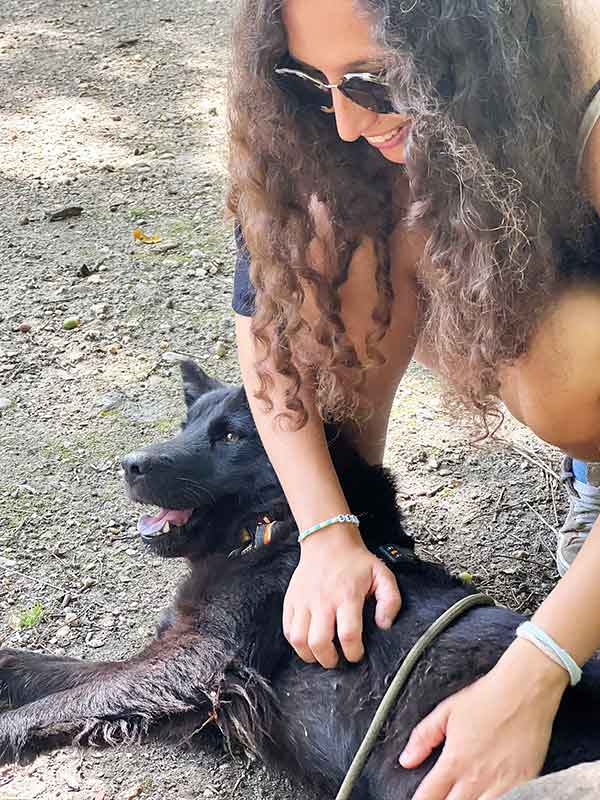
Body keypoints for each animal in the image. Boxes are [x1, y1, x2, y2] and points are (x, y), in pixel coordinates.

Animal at [1, 364, 600, 800]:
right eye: (185, 427)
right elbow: (73, 673)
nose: (130, 465)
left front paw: (7, 730)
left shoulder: (200, 661)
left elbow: (79, 693)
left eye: (230, 436)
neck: (271, 530)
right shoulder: (193, 683)